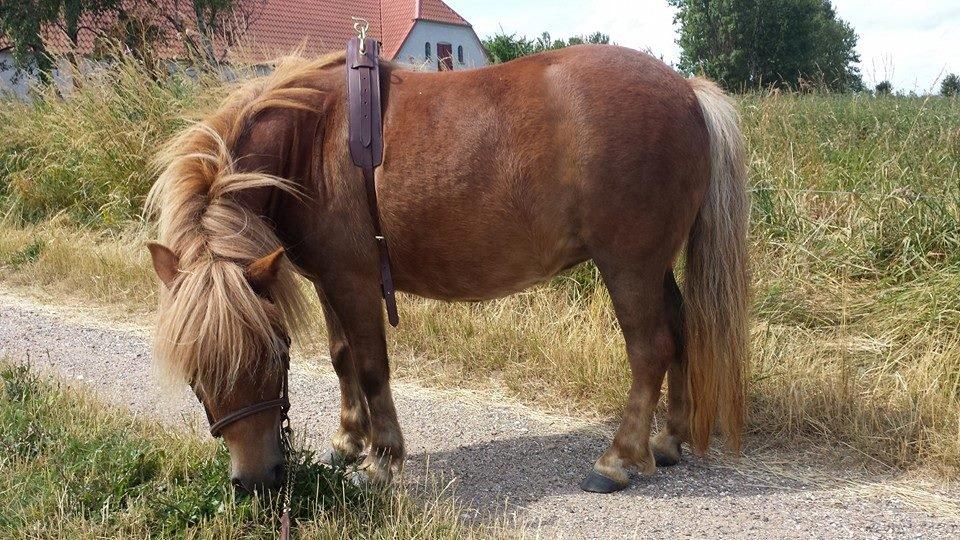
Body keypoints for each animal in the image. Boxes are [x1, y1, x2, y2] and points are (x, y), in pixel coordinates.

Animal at [144, 46, 752, 494]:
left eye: (273, 355)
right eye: (194, 373)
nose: (256, 480)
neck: (311, 140)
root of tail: (687, 91)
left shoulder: (355, 282)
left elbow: (371, 366)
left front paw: (381, 460)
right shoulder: (327, 280)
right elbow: (342, 358)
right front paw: (348, 441)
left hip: (629, 265)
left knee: (650, 347)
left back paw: (619, 459)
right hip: (654, 265)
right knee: (680, 331)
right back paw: (667, 442)